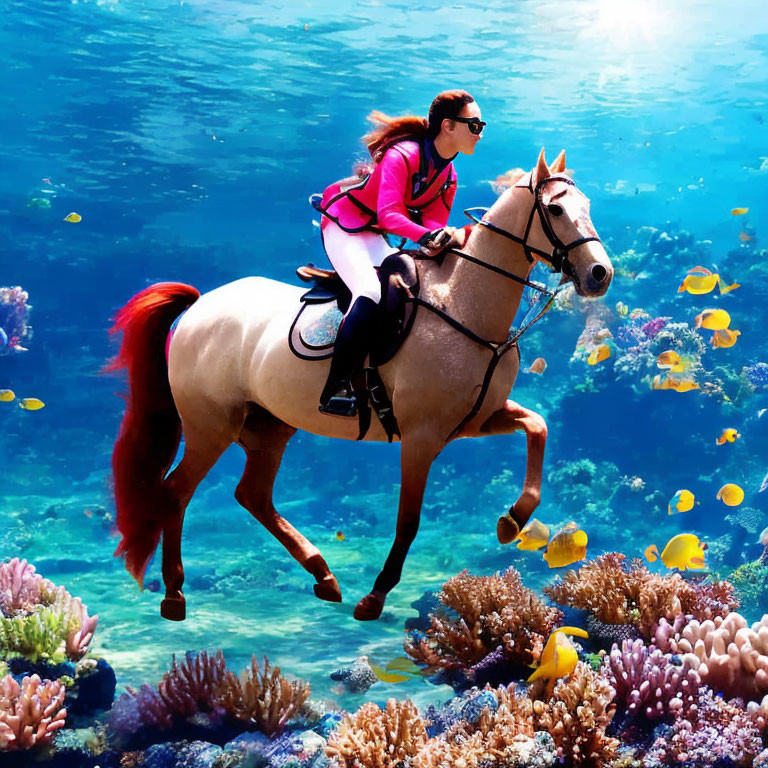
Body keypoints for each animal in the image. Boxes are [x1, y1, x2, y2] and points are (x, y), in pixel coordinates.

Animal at [106, 148, 612, 624]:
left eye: (588, 205)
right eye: (557, 210)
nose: (600, 274)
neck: (468, 306)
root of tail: (199, 305)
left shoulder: (477, 419)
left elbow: (538, 428)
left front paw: (512, 520)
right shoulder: (422, 438)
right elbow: (408, 521)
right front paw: (375, 596)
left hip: (269, 425)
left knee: (252, 495)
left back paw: (323, 575)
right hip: (211, 427)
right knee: (177, 490)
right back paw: (175, 593)